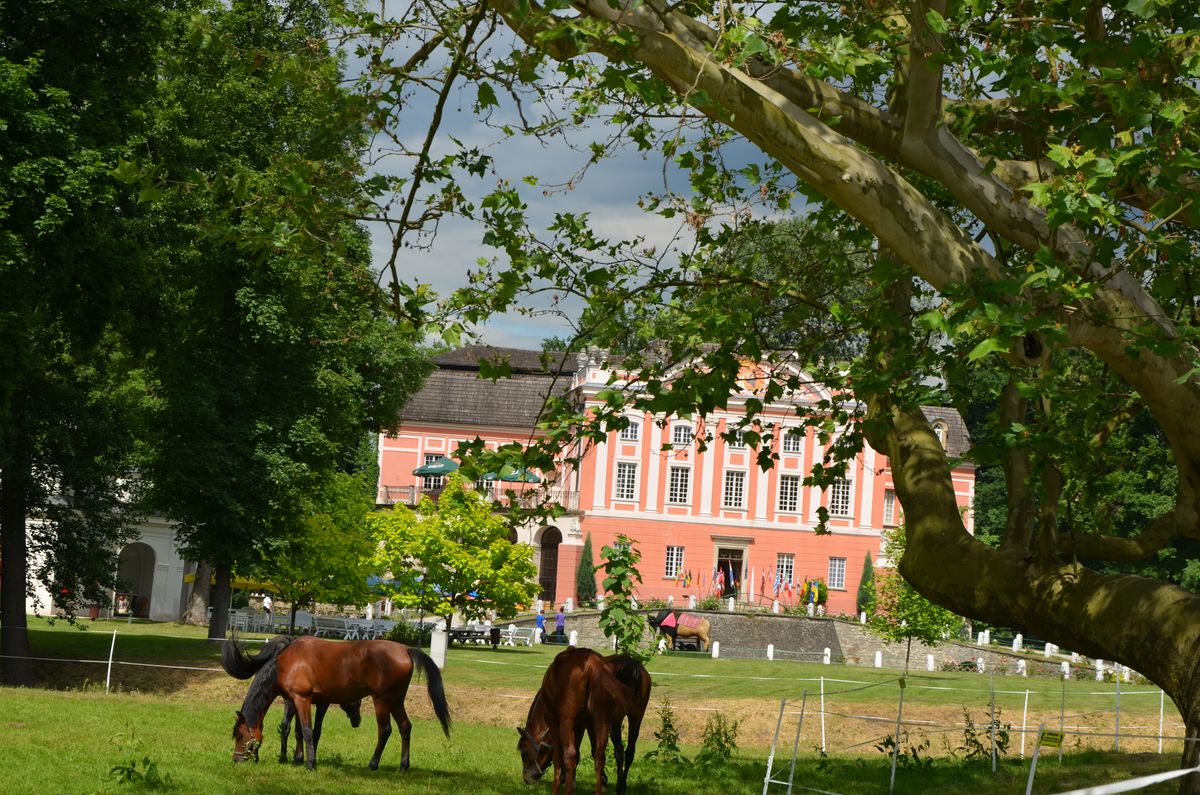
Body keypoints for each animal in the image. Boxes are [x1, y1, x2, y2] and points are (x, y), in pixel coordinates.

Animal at [222, 634, 451, 773]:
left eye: (240, 735)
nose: (236, 760)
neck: (286, 663)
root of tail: (406, 649)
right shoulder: (305, 701)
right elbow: (300, 731)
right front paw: (299, 759)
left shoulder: (302, 699)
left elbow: (307, 732)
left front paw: (310, 764)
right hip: (396, 700)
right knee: (405, 727)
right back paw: (404, 765)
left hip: (382, 700)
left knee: (385, 731)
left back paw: (372, 764)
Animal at [513, 653, 648, 792]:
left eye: (524, 752)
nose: (526, 778)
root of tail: (633, 665)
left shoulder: (579, 723)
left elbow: (579, 751)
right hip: (634, 718)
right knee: (628, 751)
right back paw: (622, 785)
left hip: (614, 721)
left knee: (619, 750)